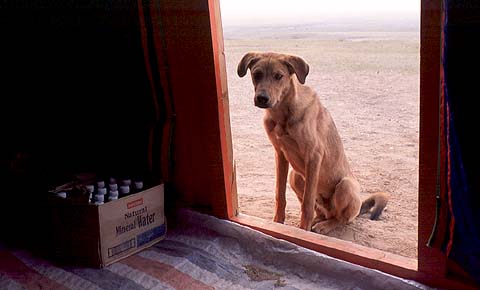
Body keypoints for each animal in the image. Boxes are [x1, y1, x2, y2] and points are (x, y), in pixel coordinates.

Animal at [238, 51, 388, 233]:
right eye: (257, 74)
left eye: (279, 76)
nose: (262, 98)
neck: (282, 113)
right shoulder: (280, 154)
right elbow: (280, 195)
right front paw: (277, 223)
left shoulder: (314, 157)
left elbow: (307, 203)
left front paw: (303, 230)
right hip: (295, 176)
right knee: (322, 211)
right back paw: (319, 219)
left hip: (346, 186)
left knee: (342, 219)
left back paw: (324, 226)